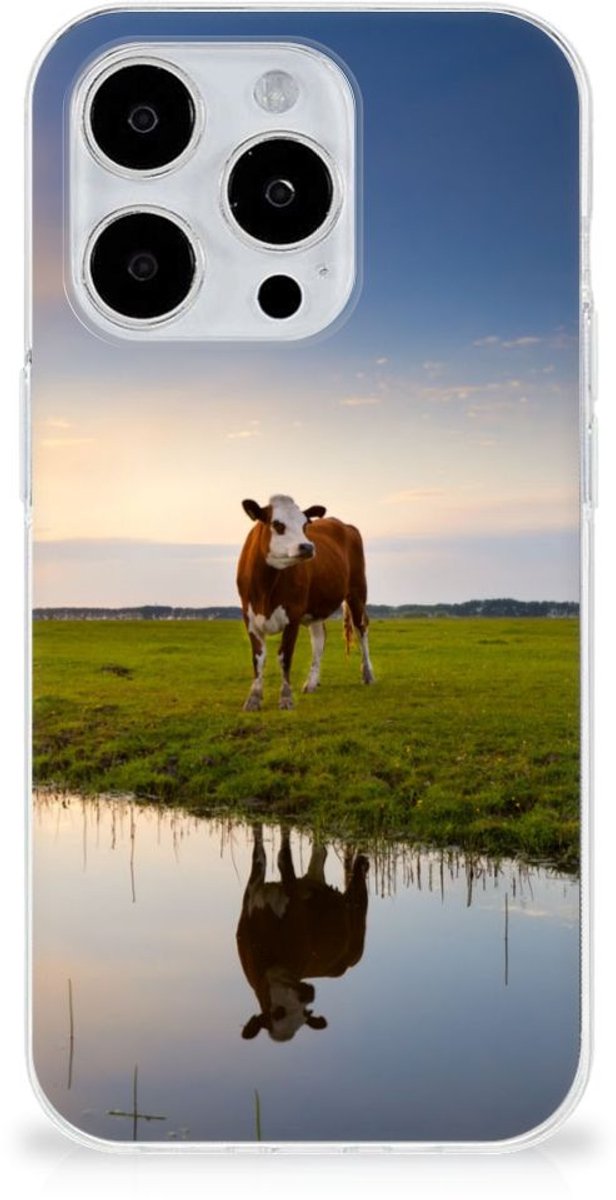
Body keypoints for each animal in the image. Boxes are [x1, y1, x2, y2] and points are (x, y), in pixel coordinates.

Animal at [236, 494, 375, 711]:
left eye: (304, 525)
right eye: (277, 524)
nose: (308, 547)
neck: (265, 588)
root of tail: (344, 524)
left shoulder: (292, 615)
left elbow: (285, 656)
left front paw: (286, 698)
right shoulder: (249, 617)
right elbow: (258, 658)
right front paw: (253, 698)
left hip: (357, 592)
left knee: (361, 629)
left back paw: (367, 674)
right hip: (317, 608)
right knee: (319, 639)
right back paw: (311, 683)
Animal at [236, 825, 369, 1042]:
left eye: (304, 1014)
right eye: (277, 1012)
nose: (309, 994)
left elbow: (283, 857)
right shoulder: (252, 894)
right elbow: (259, 852)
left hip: (357, 919)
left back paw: (363, 862)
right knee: (320, 852)